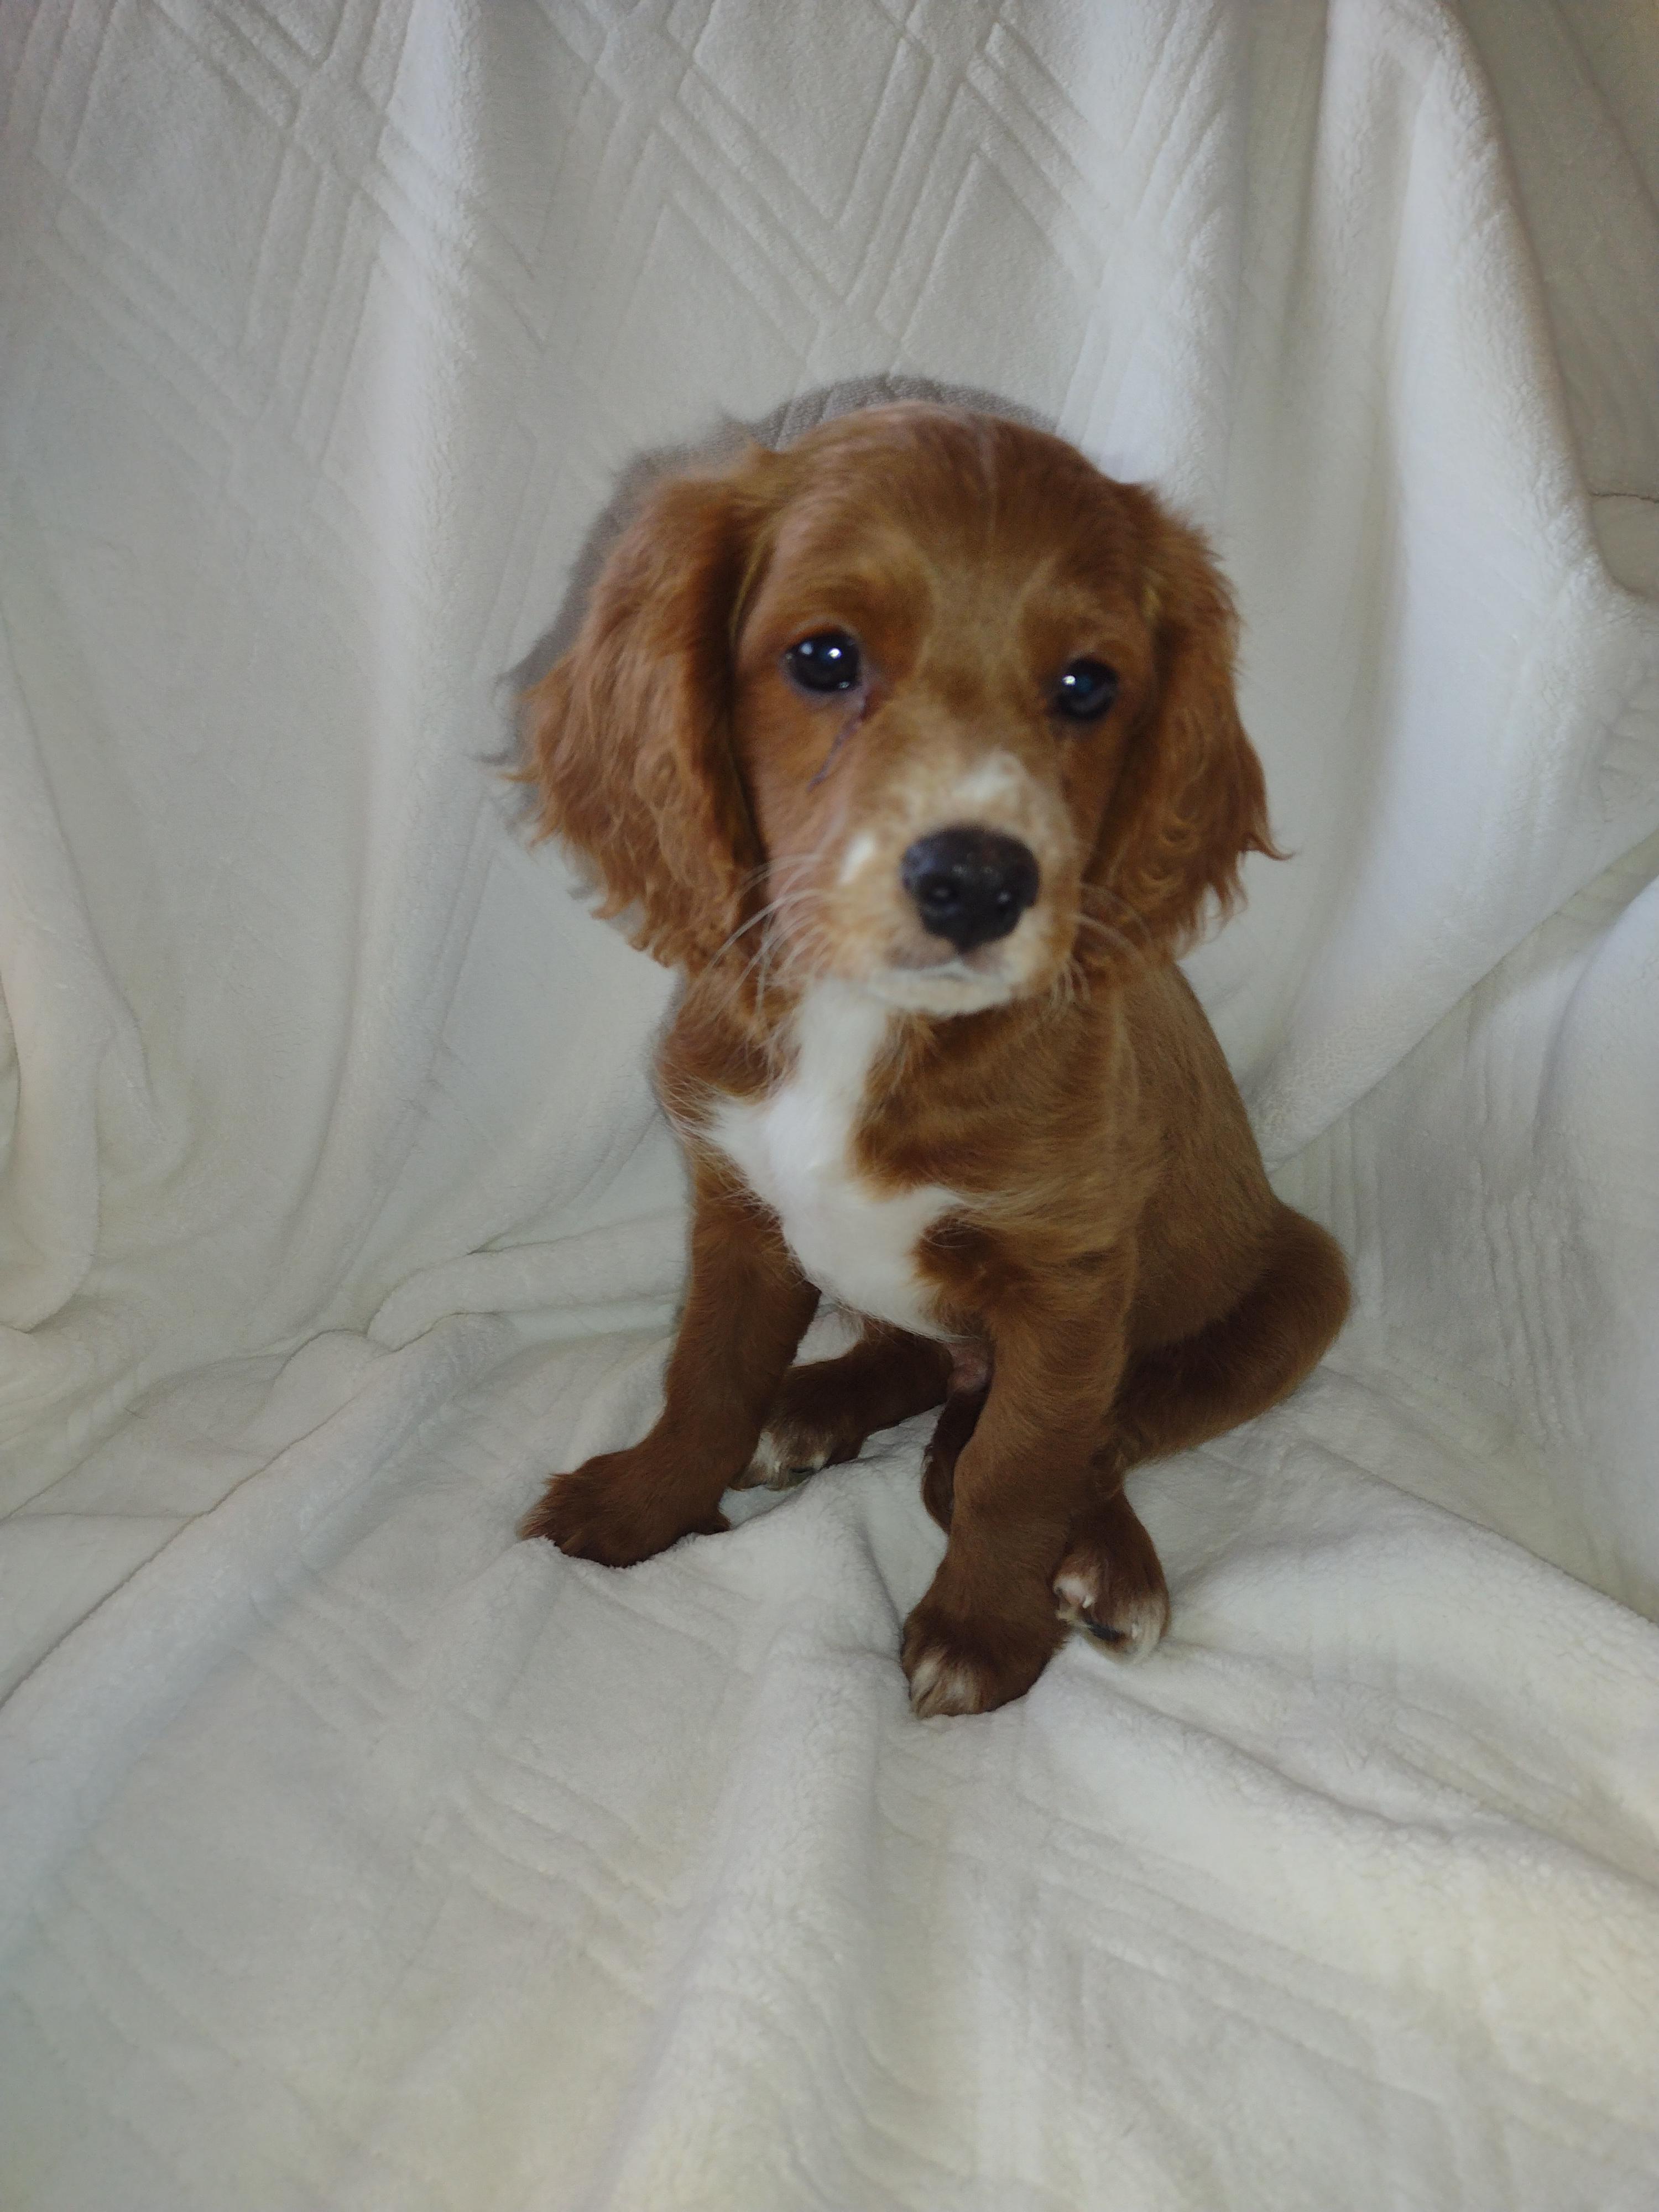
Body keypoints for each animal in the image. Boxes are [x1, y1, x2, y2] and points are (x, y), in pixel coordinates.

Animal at [517, 402, 1349, 1717]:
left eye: (1088, 684)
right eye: (823, 658)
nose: (977, 880)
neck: (871, 1024)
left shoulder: (1071, 1285)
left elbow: (1024, 1463)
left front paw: (983, 1632)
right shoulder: (738, 1210)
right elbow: (707, 1376)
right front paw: (645, 1506)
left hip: (1304, 1289)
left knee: (1098, 1432)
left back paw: (1102, 1561)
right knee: (903, 1358)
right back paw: (812, 1409)